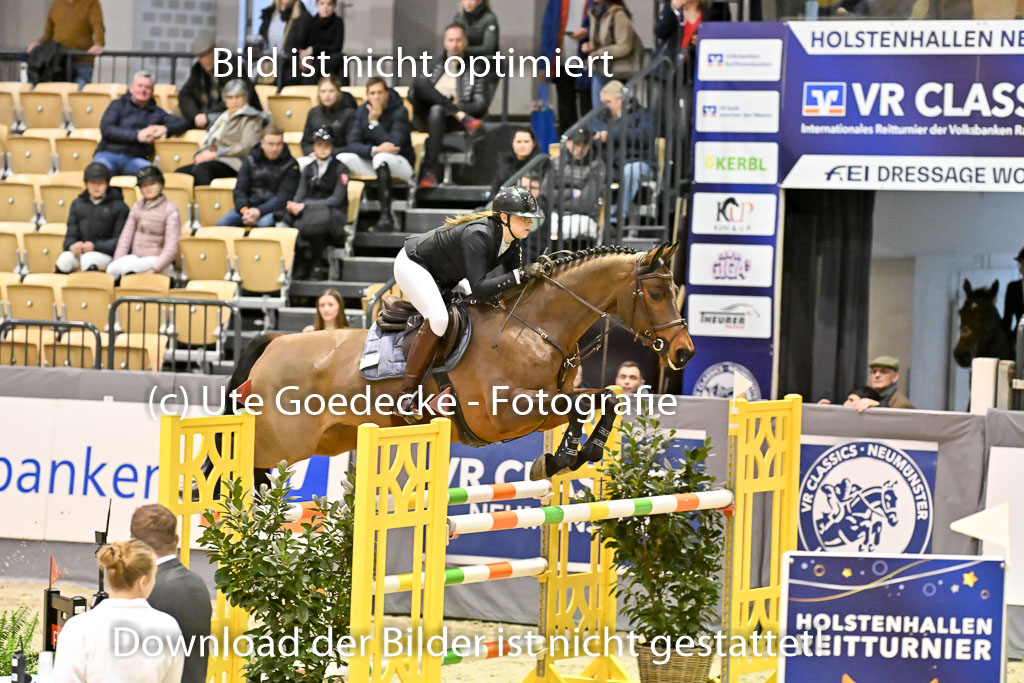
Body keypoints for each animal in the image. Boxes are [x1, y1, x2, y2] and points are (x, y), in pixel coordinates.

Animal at [234, 244, 693, 477]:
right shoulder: (504, 414)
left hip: (332, 439)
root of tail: (274, 344)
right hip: (279, 443)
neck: (533, 327)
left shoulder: (544, 407)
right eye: (656, 293)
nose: (683, 351)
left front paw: (577, 455)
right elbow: (580, 404)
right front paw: (564, 457)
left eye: (674, 290)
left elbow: (604, 398)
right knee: (237, 469)